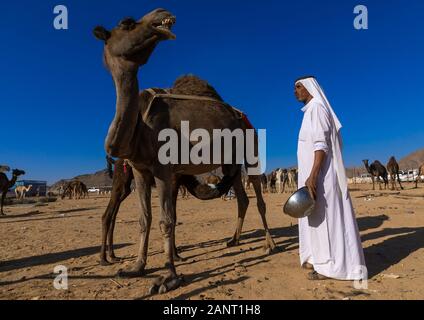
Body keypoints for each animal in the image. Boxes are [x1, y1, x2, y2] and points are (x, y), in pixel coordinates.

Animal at [94, 8, 276, 294]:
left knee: (258, 197)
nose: (162, 13)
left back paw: (270, 244)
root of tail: (244, 117)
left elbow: (166, 220)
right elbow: (145, 219)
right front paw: (136, 267)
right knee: (242, 199)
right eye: (127, 23)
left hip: (252, 149)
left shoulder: (164, 170)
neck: (141, 126)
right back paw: (233, 241)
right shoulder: (140, 171)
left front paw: (169, 277)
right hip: (230, 162)